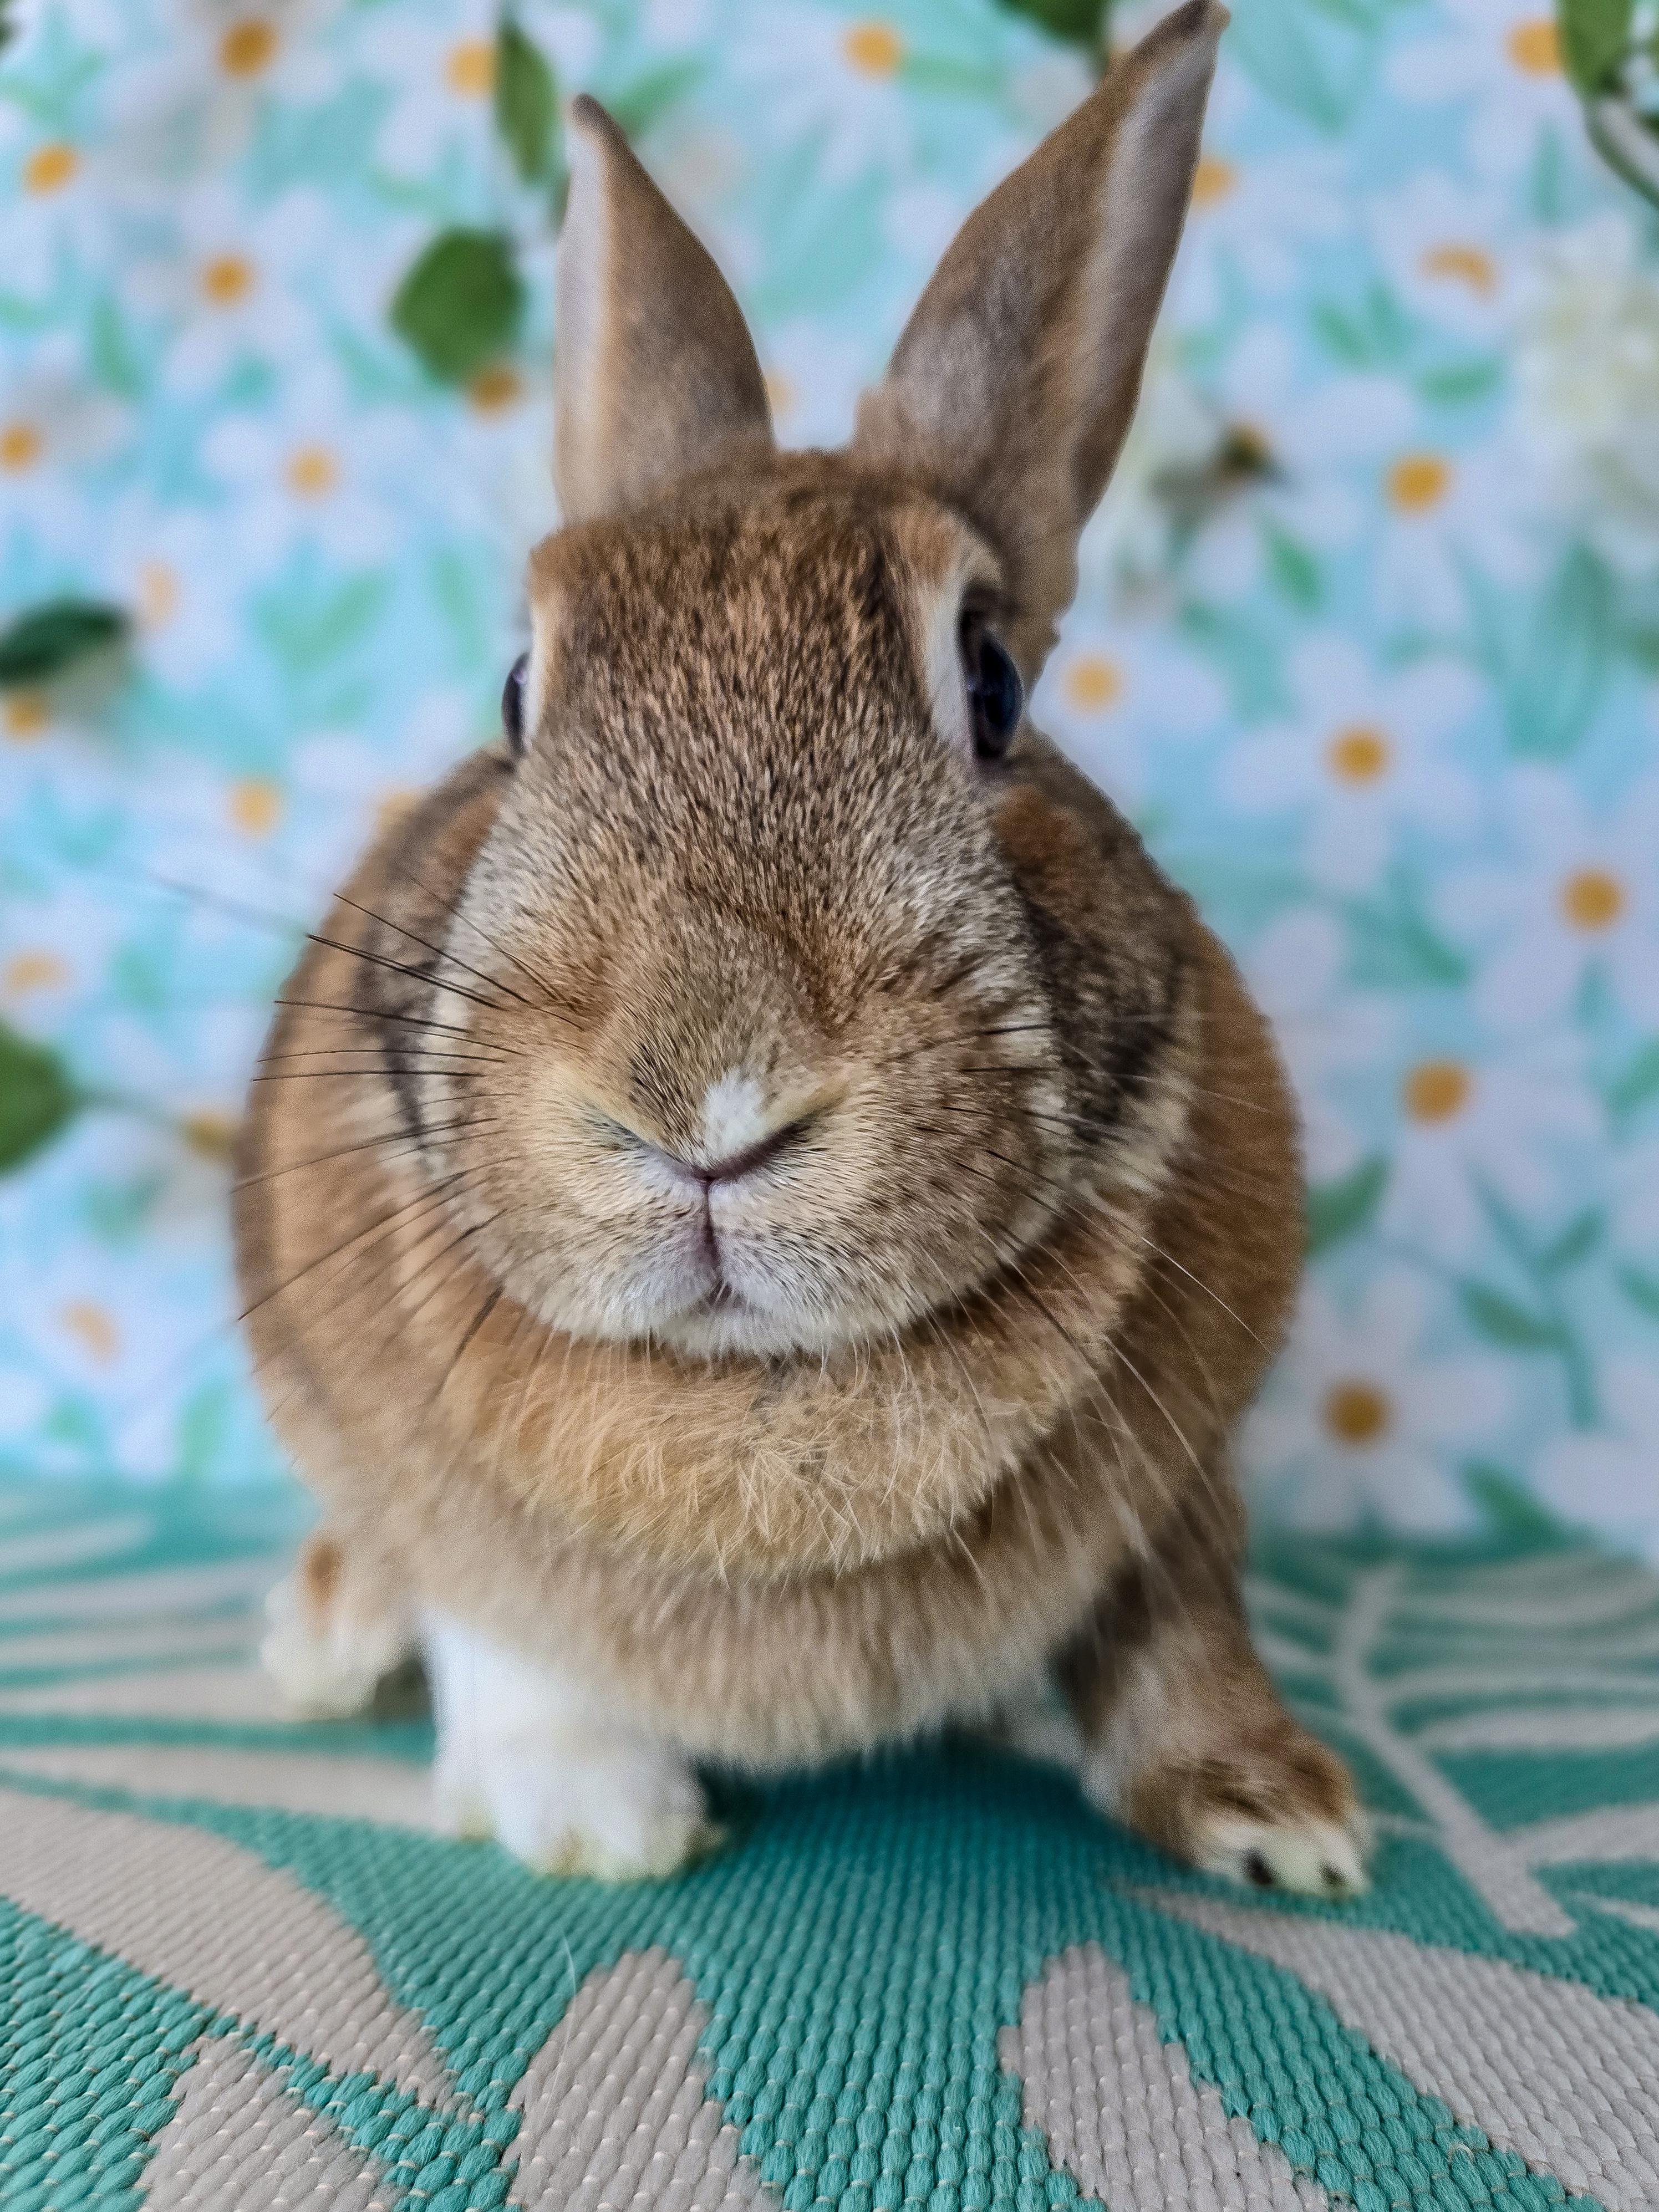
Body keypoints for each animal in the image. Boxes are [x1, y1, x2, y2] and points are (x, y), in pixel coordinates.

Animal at [236, 0, 1367, 1897]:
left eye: (991, 683)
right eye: (516, 695)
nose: (703, 1097)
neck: (755, 1391)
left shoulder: (1182, 1483)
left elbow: (1179, 1624)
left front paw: (1281, 1819)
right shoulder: (439, 1494)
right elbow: (510, 1638)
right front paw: (597, 1824)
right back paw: (317, 1643)